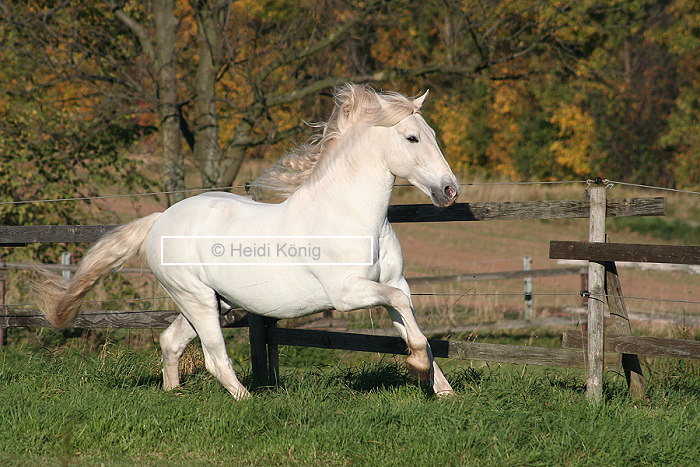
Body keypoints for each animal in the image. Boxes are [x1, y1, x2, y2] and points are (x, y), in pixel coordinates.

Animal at [35, 83, 460, 398]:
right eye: (412, 138)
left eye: (433, 135)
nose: (449, 189)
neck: (352, 217)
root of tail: (160, 220)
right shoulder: (346, 292)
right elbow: (401, 307)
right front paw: (417, 367)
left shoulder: (392, 281)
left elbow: (412, 321)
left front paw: (442, 390)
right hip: (195, 297)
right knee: (213, 357)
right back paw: (246, 399)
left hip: (210, 300)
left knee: (170, 340)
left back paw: (173, 393)